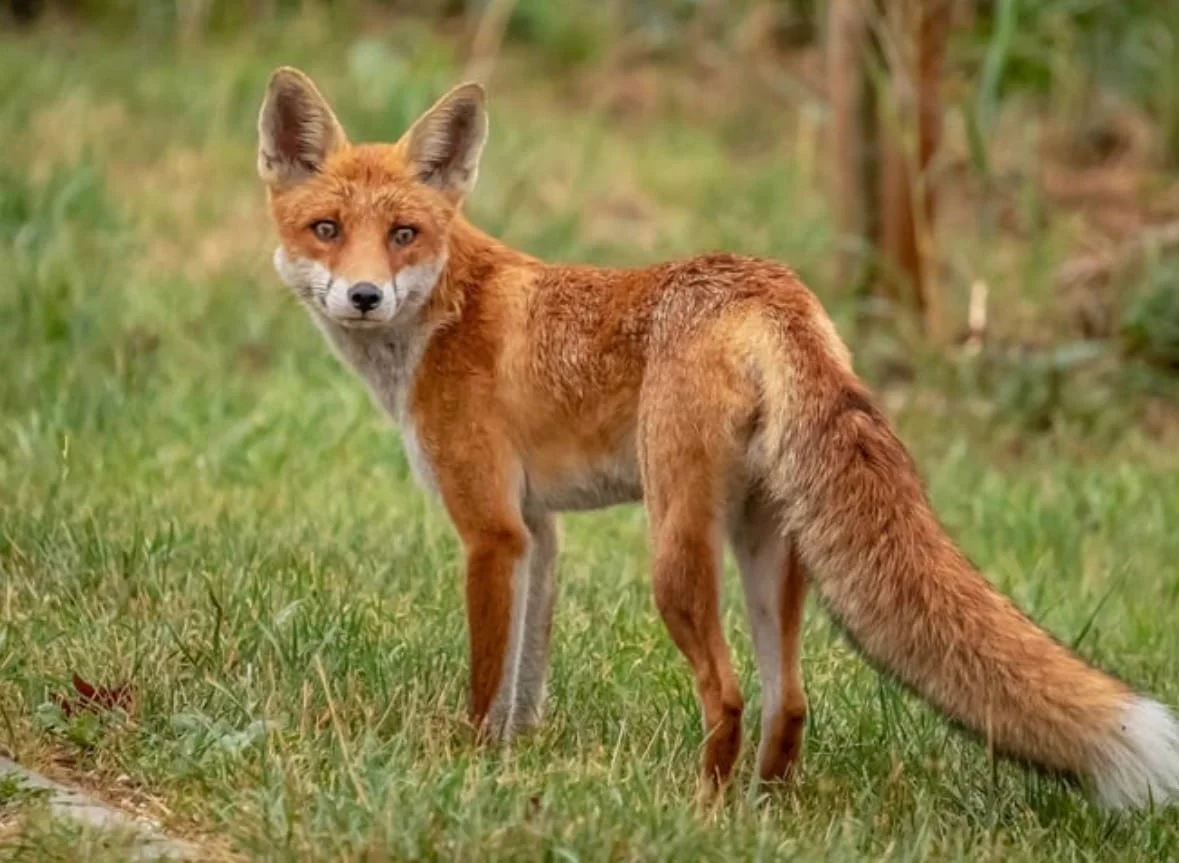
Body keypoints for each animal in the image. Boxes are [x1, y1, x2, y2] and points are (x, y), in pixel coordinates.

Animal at [256, 66, 1179, 809]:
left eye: (403, 234)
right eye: (327, 229)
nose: (365, 296)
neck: (441, 316)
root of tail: (768, 285)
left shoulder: (491, 530)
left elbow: (488, 679)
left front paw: (470, 766)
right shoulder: (538, 532)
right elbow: (526, 678)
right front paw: (515, 761)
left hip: (674, 551)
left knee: (728, 694)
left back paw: (698, 807)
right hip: (767, 547)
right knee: (790, 700)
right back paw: (762, 810)